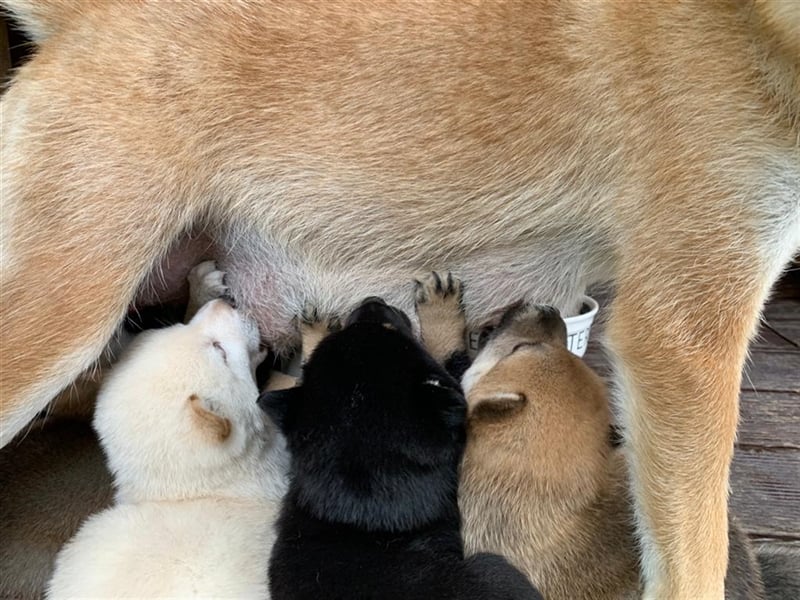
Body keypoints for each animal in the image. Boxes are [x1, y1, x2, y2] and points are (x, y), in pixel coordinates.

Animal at [260, 298, 540, 596]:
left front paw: (314, 328)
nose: (371, 301)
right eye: (389, 329)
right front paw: (441, 307)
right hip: (494, 570)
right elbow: (452, 362)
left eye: (350, 327)